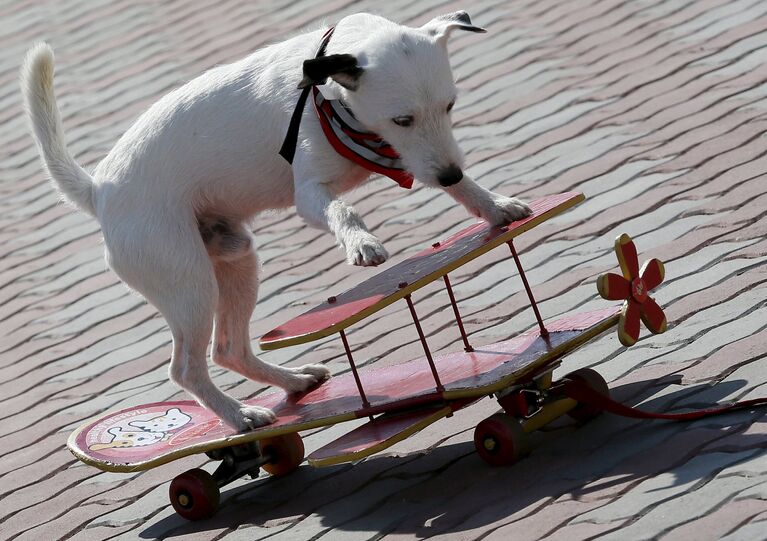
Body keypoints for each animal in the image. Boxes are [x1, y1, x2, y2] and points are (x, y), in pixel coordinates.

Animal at [21, 10, 532, 430]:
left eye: (449, 106)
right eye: (401, 119)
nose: (448, 172)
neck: (328, 91)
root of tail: (100, 191)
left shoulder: (418, 158)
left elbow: (463, 188)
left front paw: (492, 205)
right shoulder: (312, 192)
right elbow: (343, 209)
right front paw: (360, 241)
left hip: (236, 261)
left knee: (229, 349)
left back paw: (292, 382)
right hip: (189, 284)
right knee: (186, 366)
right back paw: (239, 415)